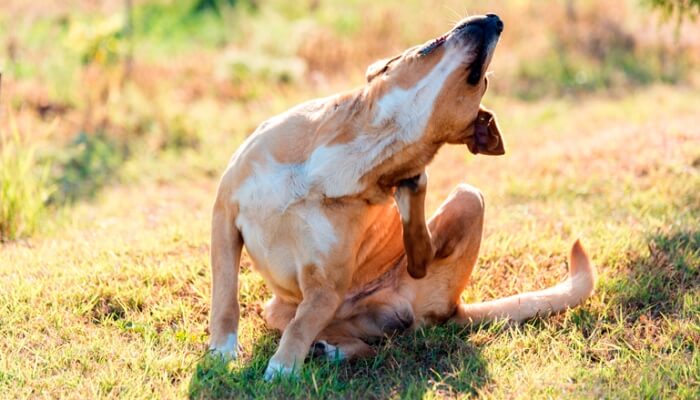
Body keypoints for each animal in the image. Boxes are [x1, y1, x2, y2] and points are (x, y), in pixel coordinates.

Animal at [206, 14, 596, 380]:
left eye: (483, 81)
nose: (496, 19)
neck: (377, 138)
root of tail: (454, 308)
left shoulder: (326, 287)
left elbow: (302, 326)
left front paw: (284, 367)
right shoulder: (225, 216)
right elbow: (226, 296)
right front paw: (223, 351)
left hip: (467, 198)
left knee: (414, 265)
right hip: (279, 310)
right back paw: (326, 348)